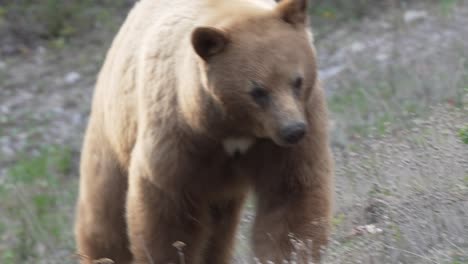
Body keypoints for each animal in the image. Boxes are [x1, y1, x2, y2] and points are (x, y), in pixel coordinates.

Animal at [75, 0, 332, 262]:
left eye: (297, 81)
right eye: (258, 91)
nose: (293, 131)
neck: (232, 128)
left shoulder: (291, 133)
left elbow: (290, 194)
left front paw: (290, 253)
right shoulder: (178, 136)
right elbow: (167, 212)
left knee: (218, 231)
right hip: (112, 132)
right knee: (105, 214)